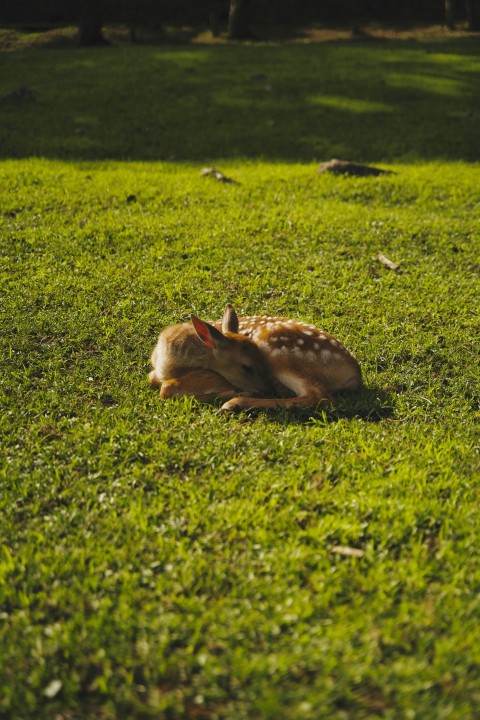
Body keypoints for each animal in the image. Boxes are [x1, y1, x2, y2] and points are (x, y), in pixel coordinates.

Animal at [150, 304, 360, 410]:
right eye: (247, 368)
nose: (267, 389)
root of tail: (354, 371)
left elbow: (167, 388)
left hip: (277, 352)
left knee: (319, 396)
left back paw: (234, 404)